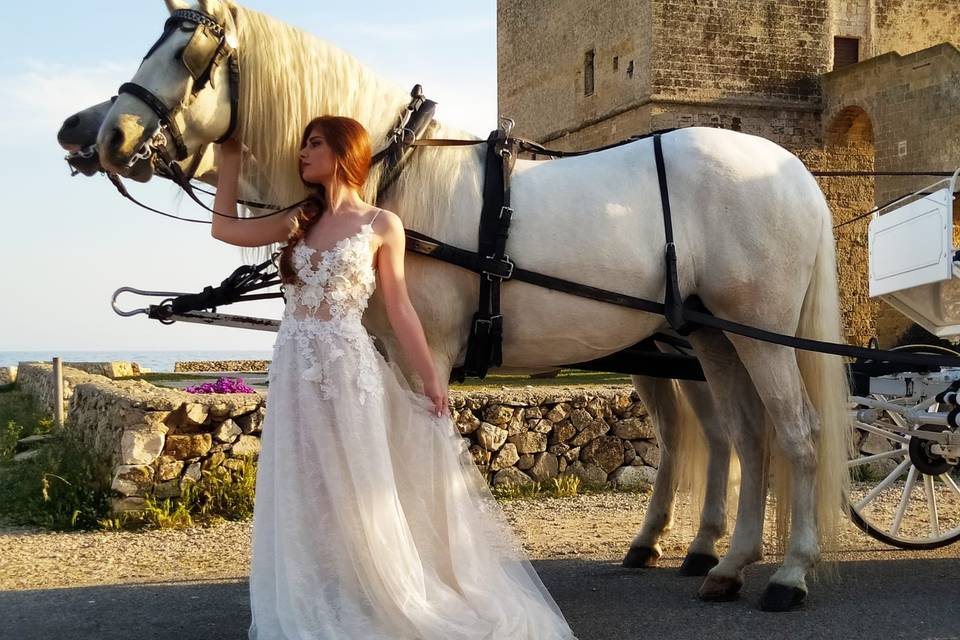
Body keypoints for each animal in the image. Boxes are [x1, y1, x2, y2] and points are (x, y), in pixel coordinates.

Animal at [94, 0, 852, 608]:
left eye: (190, 54)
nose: (108, 137)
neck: (399, 175)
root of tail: (792, 168)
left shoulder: (426, 352)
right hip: (713, 337)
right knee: (744, 437)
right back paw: (725, 563)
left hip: (761, 333)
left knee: (797, 433)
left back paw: (790, 573)